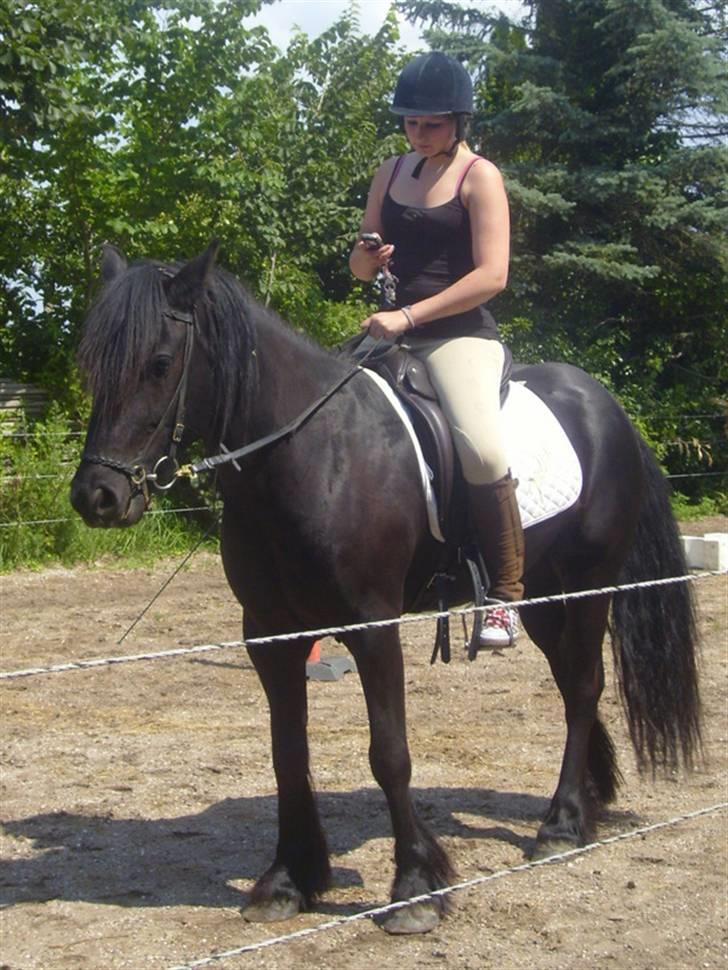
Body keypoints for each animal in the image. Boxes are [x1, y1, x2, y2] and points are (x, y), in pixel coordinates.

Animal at [70, 242, 701, 935]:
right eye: (92, 364)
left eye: (159, 364)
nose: (96, 497)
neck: (311, 454)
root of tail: (604, 406)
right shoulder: (269, 634)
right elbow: (287, 753)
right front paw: (288, 880)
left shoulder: (373, 628)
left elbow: (389, 753)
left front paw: (416, 886)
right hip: (543, 595)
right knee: (571, 685)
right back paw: (584, 804)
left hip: (588, 585)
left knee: (585, 686)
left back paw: (560, 825)